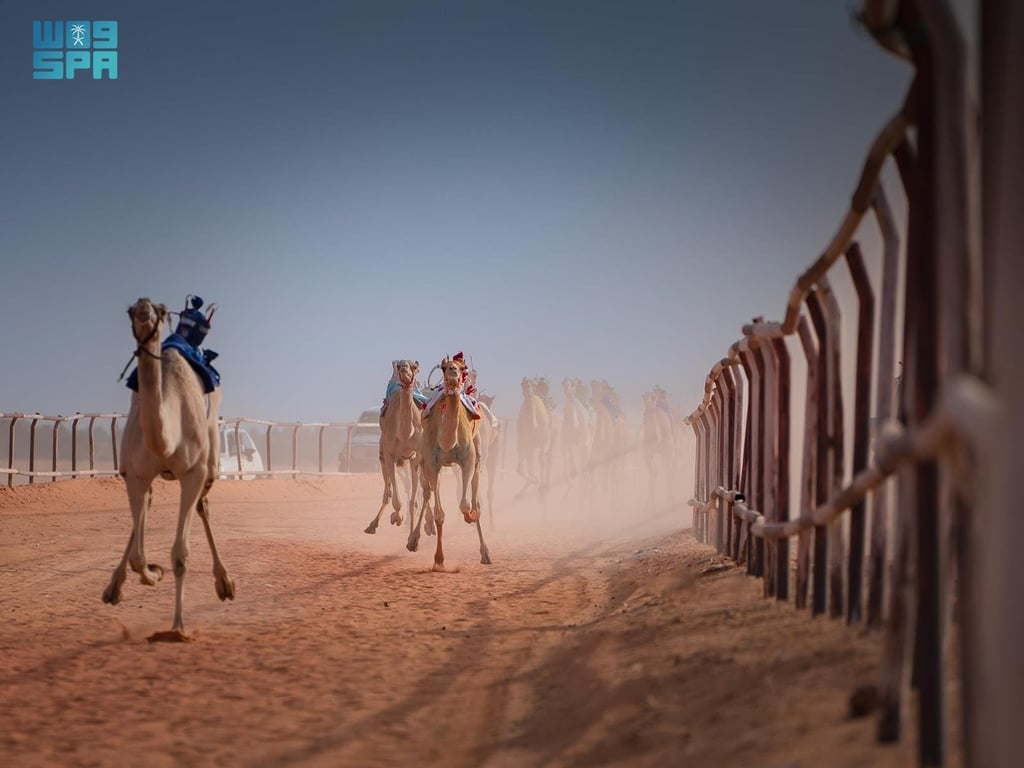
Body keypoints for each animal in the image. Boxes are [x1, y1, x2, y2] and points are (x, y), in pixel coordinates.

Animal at [103, 298, 234, 642]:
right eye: (130, 309)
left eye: (162, 311)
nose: (145, 310)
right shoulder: (134, 473)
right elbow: (138, 557)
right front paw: (151, 574)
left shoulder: (192, 474)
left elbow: (180, 553)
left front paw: (178, 626)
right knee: (150, 502)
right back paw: (114, 587)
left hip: (210, 461)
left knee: (203, 505)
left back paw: (225, 583)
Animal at [365, 360, 422, 542]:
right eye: (399, 366)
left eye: (414, 367)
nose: (404, 370)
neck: (404, 434)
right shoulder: (389, 455)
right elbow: (396, 499)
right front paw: (397, 517)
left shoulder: (417, 456)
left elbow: (413, 501)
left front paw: (412, 538)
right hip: (383, 457)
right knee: (387, 493)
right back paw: (372, 525)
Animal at [411, 356, 490, 569]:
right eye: (445, 367)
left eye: (463, 367)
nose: (454, 373)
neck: (447, 441)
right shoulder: (431, 464)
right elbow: (440, 514)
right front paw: (439, 560)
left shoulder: (469, 460)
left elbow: (466, 504)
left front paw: (470, 516)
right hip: (422, 461)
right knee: (427, 493)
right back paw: (413, 540)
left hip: (478, 456)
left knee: (475, 499)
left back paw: (485, 553)